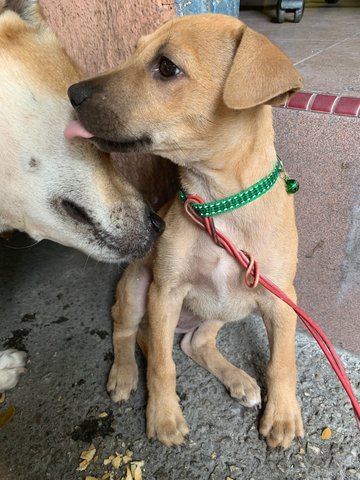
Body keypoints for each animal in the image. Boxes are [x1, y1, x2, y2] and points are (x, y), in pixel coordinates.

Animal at [67, 13, 304, 448]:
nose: (72, 92)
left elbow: (282, 361)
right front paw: (163, 416)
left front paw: (281, 415)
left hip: (227, 308)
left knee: (194, 343)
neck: (217, 205)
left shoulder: (281, 299)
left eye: (166, 67)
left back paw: (239, 379)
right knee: (126, 332)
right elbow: (162, 365)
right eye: (133, 52)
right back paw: (124, 373)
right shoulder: (165, 291)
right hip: (136, 289)